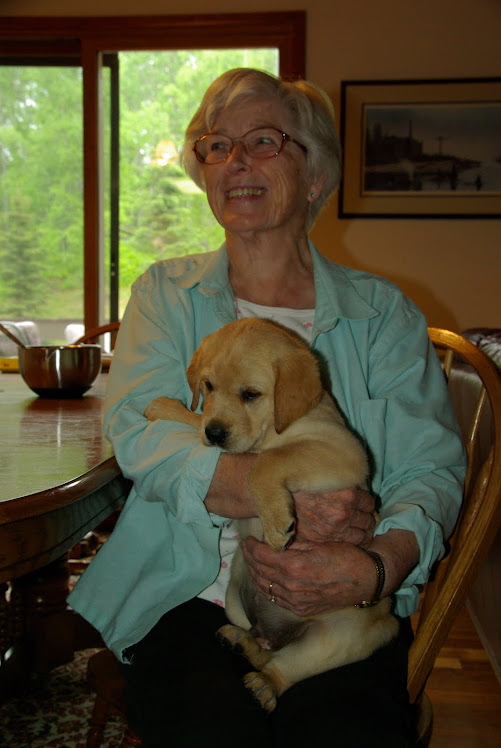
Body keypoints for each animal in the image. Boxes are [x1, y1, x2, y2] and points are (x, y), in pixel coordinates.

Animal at [145, 318, 398, 712]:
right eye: (208, 386)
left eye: (251, 394)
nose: (215, 434)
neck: (272, 429)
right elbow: (198, 418)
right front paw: (166, 409)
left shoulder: (342, 451)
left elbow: (265, 463)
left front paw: (278, 523)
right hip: (235, 594)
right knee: (262, 648)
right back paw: (241, 641)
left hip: (337, 637)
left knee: (284, 666)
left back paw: (264, 685)